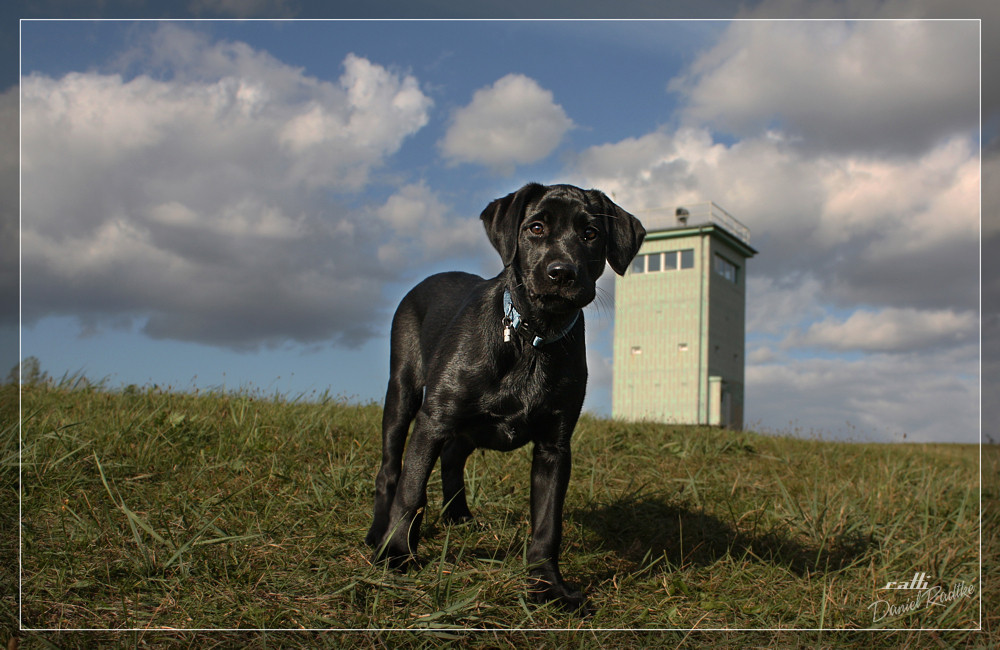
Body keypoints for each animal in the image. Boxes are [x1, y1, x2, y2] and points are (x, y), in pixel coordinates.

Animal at [364, 184, 644, 612]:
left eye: (591, 234)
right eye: (536, 227)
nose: (561, 273)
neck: (531, 338)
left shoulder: (554, 446)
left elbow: (547, 525)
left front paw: (548, 586)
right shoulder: (433, 420)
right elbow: (411, 493)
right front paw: (397, 555)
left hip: (466, 427)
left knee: (452, 458)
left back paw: (458, 516)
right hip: (404, 391)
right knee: (390, 470)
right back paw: (379, 535)